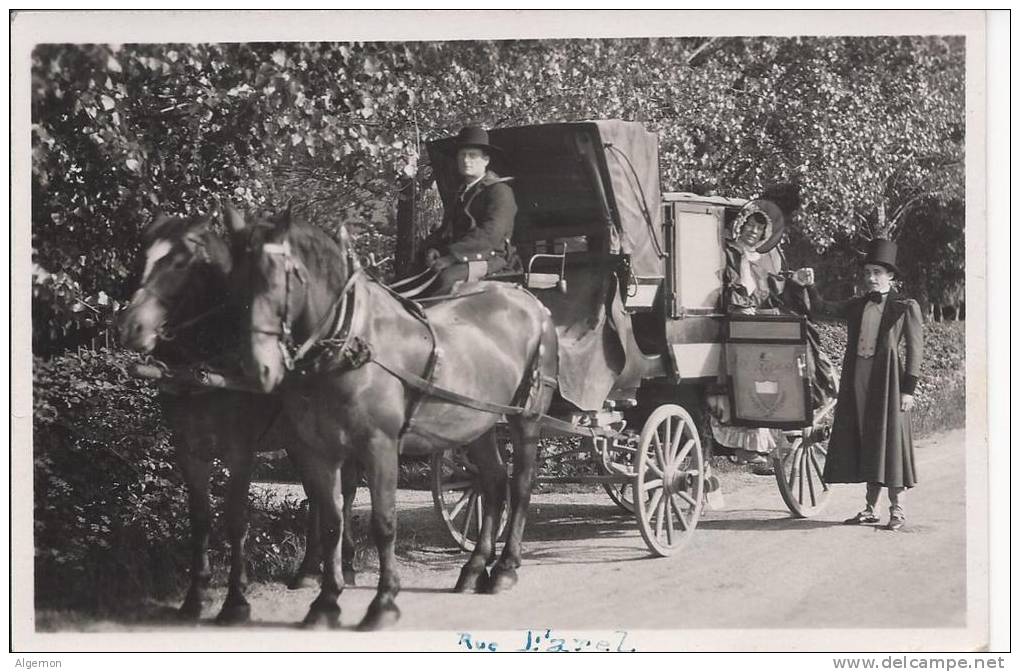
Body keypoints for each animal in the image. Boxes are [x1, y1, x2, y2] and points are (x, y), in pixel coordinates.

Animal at [117, 213, 359, 624]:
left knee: (348, 492)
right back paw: (308, 572)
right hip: (300, 444)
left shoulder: (239, 451)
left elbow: (235, 519)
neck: (207, 363)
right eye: (141, 258)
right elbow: (200, 519)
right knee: (319, 498)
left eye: (179, 263)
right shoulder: (188, 450)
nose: (131, 327)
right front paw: (195, 598)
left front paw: (235, 600)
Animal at [230, 209, 558, 632]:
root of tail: (528, 298)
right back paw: (474, 569)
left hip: (527, 418)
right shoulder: (319, 450)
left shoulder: (379, 446)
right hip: (477, 424)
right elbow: (331, 520)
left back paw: (505, 568)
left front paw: (383, 602)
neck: (352, 342)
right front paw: (325, 601)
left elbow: (384, 522)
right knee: (493, 484)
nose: (258, 366)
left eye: (277, 277)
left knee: (520, 486)